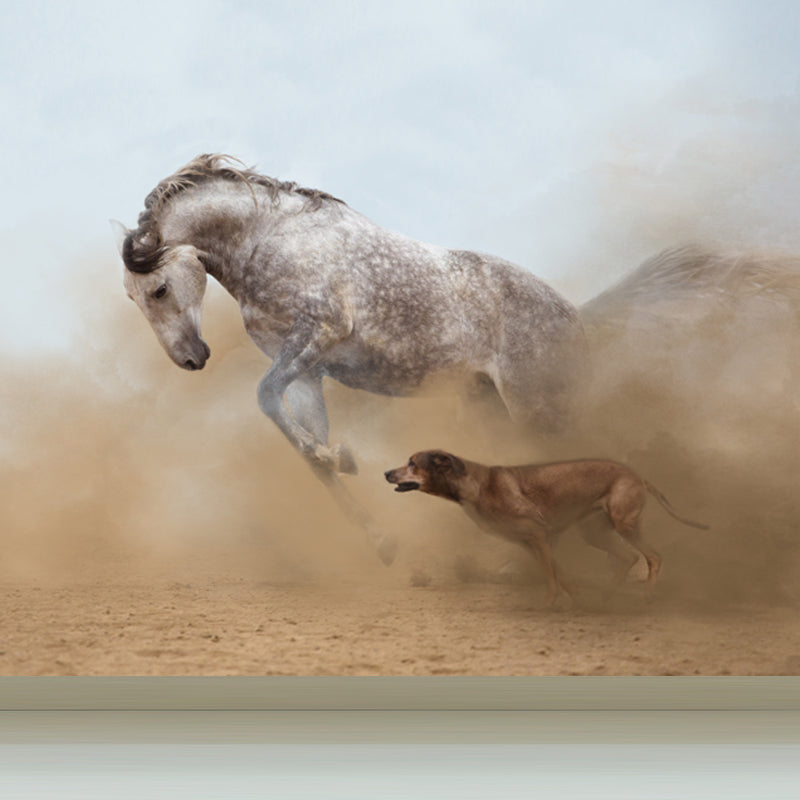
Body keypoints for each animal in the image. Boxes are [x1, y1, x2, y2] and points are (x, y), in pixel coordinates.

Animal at [112, 154, 589, 565]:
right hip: (486, 404)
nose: (190, 358)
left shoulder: (316, 333)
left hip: (534, 406)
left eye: (159, 290)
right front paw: (379, 535)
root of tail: (574, 319)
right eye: (133, 298)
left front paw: (340, 457)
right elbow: (307, 448)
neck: (266, 241)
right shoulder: (306, 373)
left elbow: (265, 396)